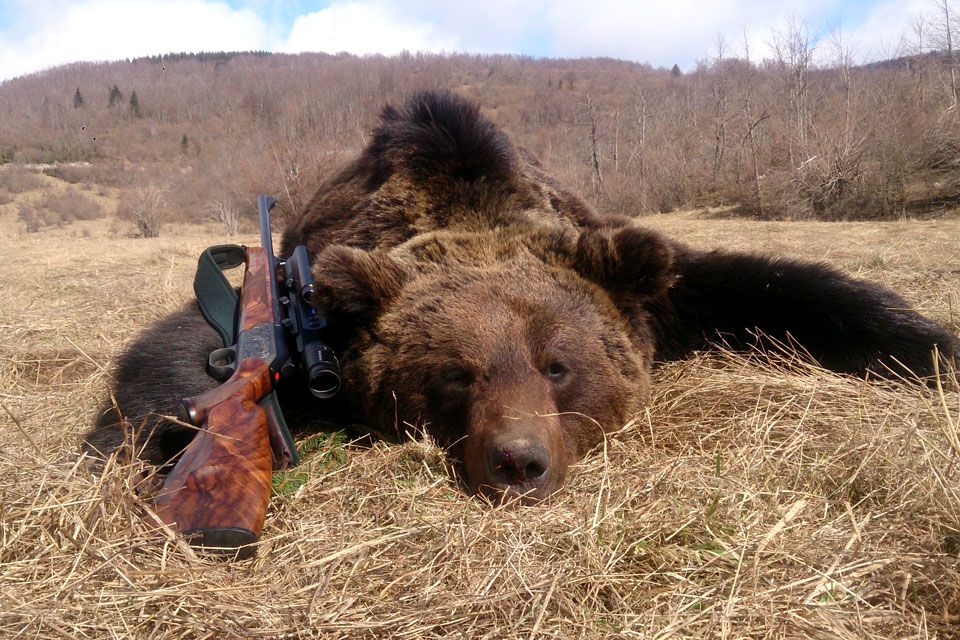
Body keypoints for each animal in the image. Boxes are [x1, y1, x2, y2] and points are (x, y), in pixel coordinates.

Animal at [86, 90, 958, 502]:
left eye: (559, 364)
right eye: (454, 373)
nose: (518, 461)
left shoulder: (654, 279)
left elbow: (781, 286)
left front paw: (934, 345)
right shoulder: (310, 310)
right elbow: (191, 353)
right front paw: (140, 450)